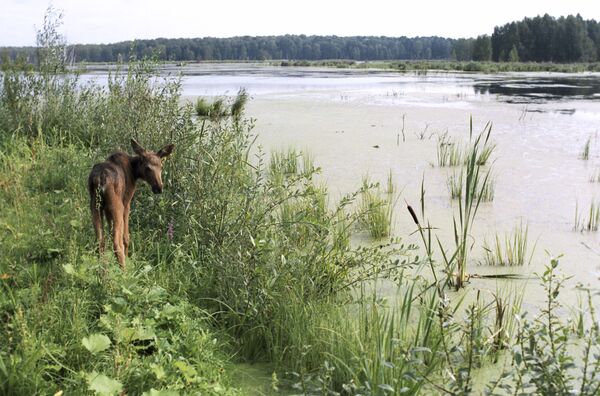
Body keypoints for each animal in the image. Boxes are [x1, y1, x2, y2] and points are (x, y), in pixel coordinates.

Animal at [88, 138, 175, 270]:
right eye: (147, 168)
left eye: (161, 166)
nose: (159, 188)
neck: (135, 172)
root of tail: (99, 180)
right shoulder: (126, 202)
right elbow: (126, 237)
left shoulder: (107, 210)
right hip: (117, 206)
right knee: (117, 242)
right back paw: (124, 270)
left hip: (95, 206)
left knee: (100, 240)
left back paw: (103, 270)